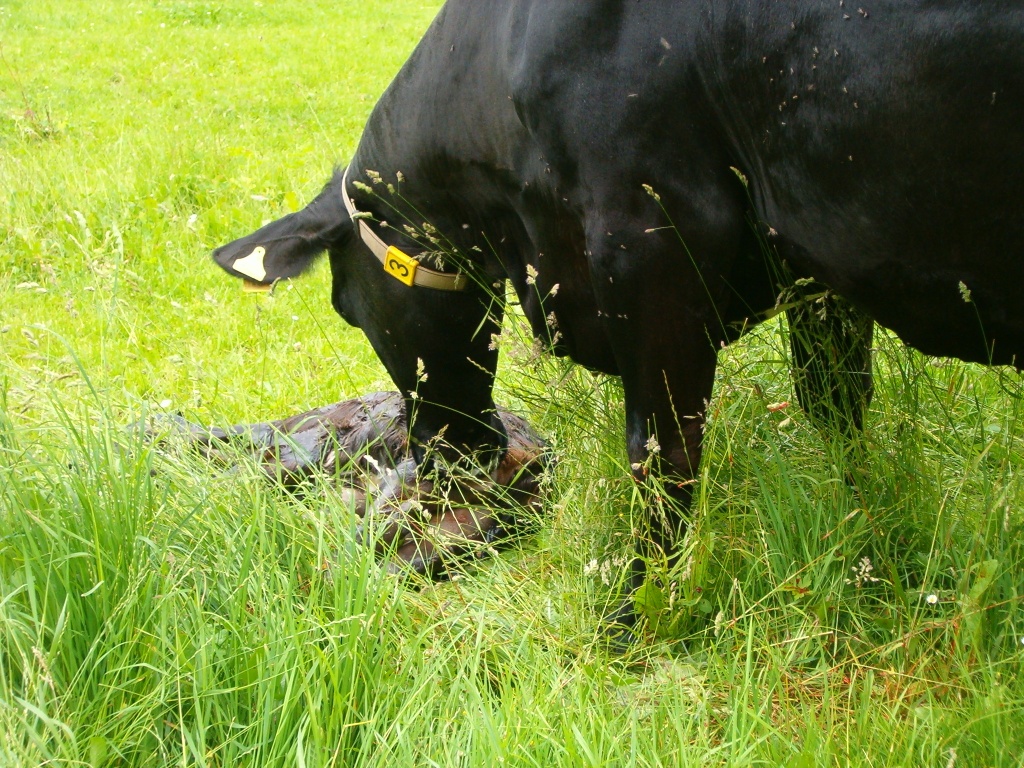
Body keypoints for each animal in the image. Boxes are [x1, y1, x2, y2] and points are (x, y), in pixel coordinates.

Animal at [214, 0, 1024, 634]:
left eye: (348, 309)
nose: (446, 463)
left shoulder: (649, 242)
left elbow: (661, 458)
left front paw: (634, 621)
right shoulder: (816, 272)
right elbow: (836, 407)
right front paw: (867, 535)